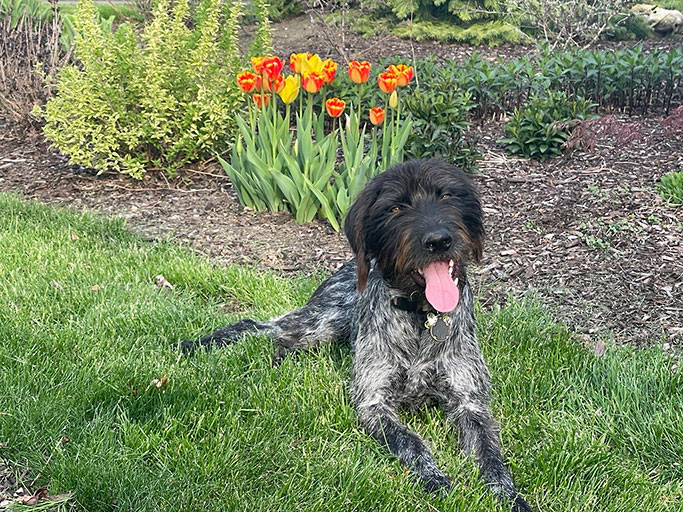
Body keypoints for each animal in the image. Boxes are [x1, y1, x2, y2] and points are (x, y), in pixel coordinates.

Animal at [183, 159, 536, 508]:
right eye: (395, 208)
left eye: (447, 195)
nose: (438, 240)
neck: (421, 315)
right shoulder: (374, 403)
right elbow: (412, 443)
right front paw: (435, 479)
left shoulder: (471, 403)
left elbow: (491, 455)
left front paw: (508, 496)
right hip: (318, 324)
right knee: (258, 326)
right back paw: (199, 344)